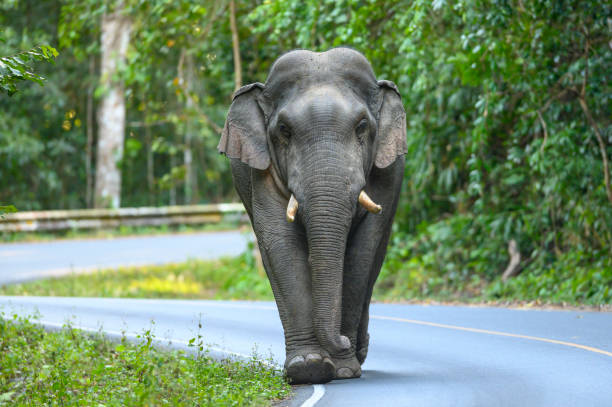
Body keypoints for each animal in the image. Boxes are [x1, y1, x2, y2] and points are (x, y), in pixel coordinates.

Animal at [216, 47, 406, 386]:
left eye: (362, 126)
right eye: (284, 130)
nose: (341, 341)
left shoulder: (389, 172)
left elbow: (363, 249)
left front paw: (343, 369)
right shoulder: (261, 171)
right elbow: (280, 242)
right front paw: (308, 367)